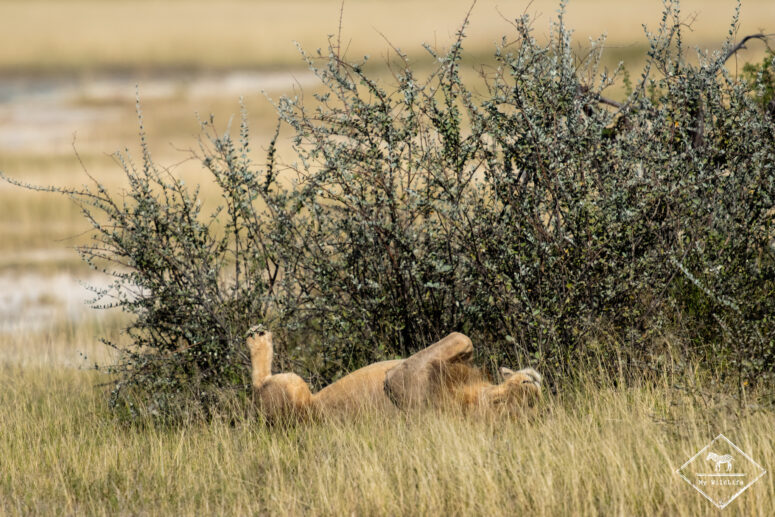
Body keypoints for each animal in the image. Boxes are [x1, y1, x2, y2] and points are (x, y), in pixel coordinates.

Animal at [247, 327, 541, 422]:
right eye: (526, 384)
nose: (534, 381)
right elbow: (465, 341)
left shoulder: (403, 379)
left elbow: (461, 336)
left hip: (295, 392)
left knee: (258, 384)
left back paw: (257, 337)